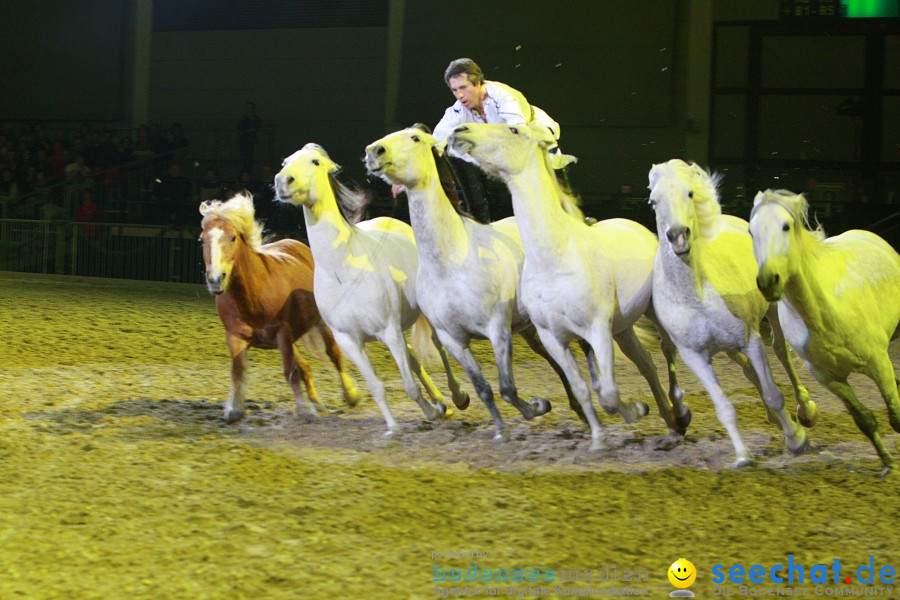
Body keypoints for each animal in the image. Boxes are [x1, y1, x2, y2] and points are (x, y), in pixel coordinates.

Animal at [272, 145, 472, 436]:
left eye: (315, 162)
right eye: (285, 162)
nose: (283, 182)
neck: (343, 270)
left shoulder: (388, 331)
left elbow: (409, 385)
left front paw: (432, 411)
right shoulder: (349, 340)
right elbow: (377, 387)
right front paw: (396, 426)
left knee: (439, 348)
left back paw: (457, 397)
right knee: (413, 356)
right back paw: (440, 403)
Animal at [362, 124, 600, 438]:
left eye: (414, 138)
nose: (373, 151)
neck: (452, 264)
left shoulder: (497, 329)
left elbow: (507, 387)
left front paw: (537, 408)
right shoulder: (453, 339)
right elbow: (483, 388)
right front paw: (502, 428)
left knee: (585, 347)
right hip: (528, 327)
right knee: (554, 359)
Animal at [448, 123, 688, 450]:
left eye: (513, 130)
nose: (460, 131)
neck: (555, 259)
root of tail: (636, 225)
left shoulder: (597, 330)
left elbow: (608, 393)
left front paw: (636, 411)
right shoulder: (553, 338)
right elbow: (583, 388)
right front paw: (599, 438)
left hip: (652, 312)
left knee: (667, 349)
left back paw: (681, 412)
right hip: (623, 328)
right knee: (646, 364)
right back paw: (671, 421)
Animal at [648, 159, 816, 468]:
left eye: (690, 193)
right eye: (654, 201)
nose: (678, 236)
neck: (696, 295)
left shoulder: (751, 340)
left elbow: (773, 394)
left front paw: (797, 440)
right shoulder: (695, 357)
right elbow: (724, 407)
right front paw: (743, 457)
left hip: (772, 311)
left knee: (781, 352)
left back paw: (805, 410)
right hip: (727, 349)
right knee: (747, 369)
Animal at [744, 190, 900, 476]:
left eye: (786, 226)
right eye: (752, 230)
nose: (768, 280)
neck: (824, 315)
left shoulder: (879, 362)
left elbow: (896, 416)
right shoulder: (830, 379)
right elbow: (865, 420)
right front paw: (889, 464)